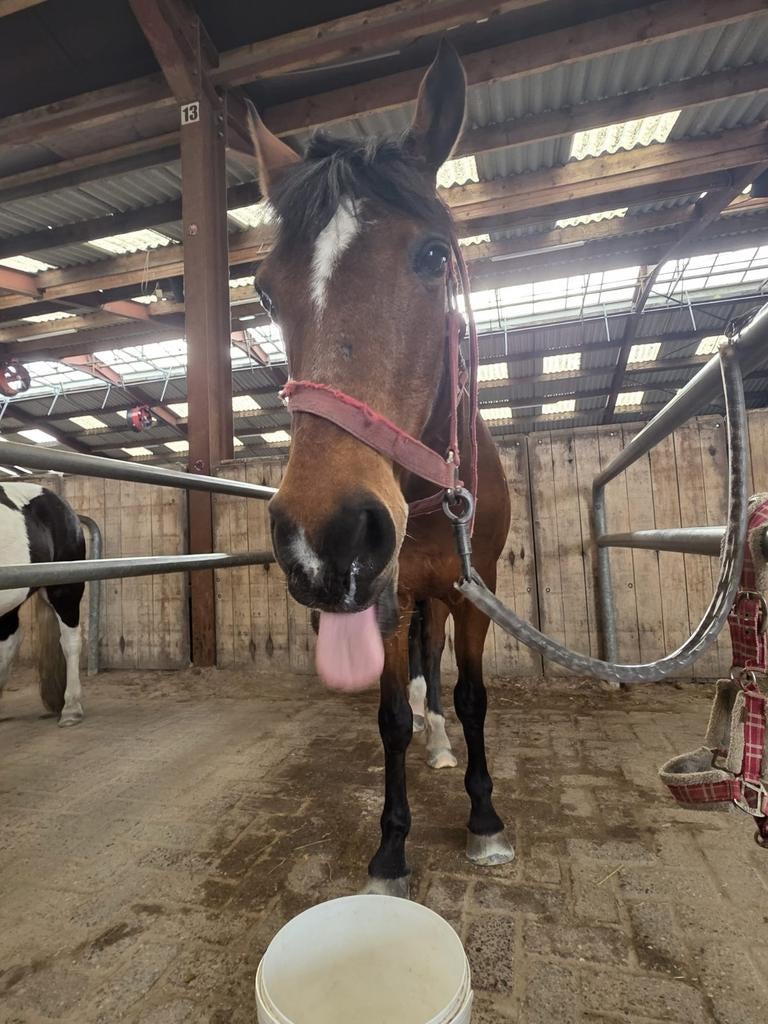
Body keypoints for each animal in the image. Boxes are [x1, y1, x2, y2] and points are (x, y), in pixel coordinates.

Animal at [249, 39, 513, 897]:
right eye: (265, 291)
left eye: (432, 255)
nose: (324, 539)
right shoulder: (389, 598)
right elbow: (393, 714)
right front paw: (391, 849)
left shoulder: (474, 589)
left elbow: (472, 696)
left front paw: (484, 819)